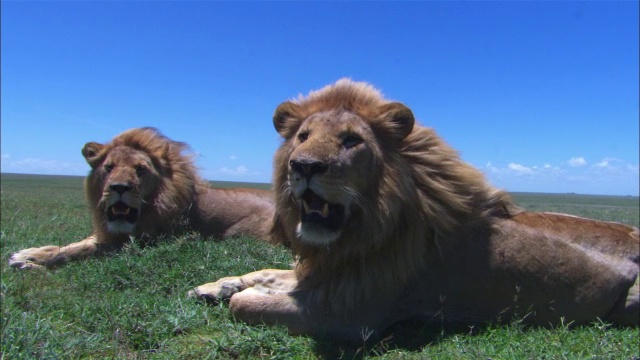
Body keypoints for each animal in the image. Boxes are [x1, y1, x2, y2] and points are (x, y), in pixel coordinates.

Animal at [9, 128, 276, 268]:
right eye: (109, 168)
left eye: (140, 169)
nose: (119, 187)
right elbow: (74, 244)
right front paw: (31, 252)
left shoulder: (140, 241)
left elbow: (81, 250)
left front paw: (30, 261)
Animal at [190, 79, 640, 340]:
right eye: (302, 136)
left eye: (351, 140)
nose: (303, 166)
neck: (360, 233)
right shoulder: (325, 272)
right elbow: (264, 272)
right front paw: (215, 286)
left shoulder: (350, 315)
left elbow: (250, 303)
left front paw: (245, 294)